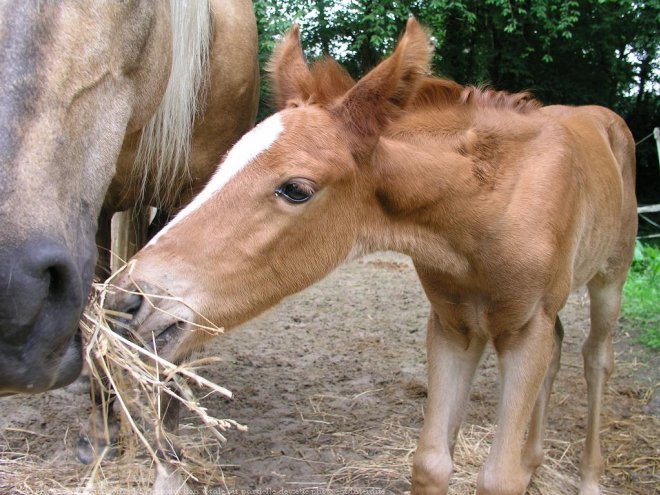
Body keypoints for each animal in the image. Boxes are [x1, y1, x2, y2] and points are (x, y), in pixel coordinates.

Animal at [107, 19, 636, 495]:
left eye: (296, 189)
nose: (125, 302)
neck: (486, 210)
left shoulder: (525, 329)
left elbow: (496, 478)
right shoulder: (453, 326)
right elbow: (430, 463)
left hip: (610, 277)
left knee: (596, 357)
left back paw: (589, 479)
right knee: (561, 347)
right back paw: (533, 462)